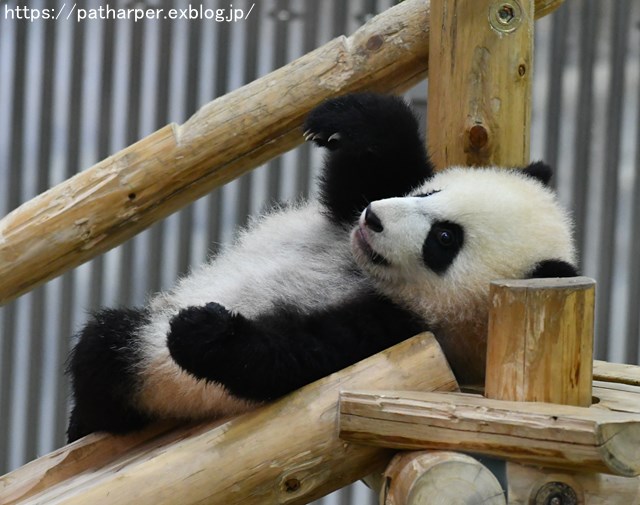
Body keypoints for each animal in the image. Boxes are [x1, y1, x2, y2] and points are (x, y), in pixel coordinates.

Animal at [67, 93, 576, 440]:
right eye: (429, 194)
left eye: (444, 239)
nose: (374, 220)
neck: (366, 272)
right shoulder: (351, 211)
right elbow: (369, 173)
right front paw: (345, 118)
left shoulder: (399, 334)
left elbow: (294, 356)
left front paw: (206, 330)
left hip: (157, 375)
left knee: (109, 352)